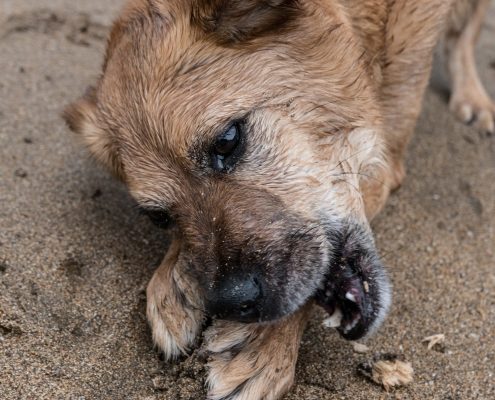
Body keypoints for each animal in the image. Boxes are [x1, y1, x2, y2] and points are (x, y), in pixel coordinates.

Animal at [64, 1, 494, 398]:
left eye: (228, 140)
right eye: (160, 218)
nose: (232, 302)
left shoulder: (386, 157)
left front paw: (262, 343)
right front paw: (177, 278)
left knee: (465, 35)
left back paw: (472, 97)